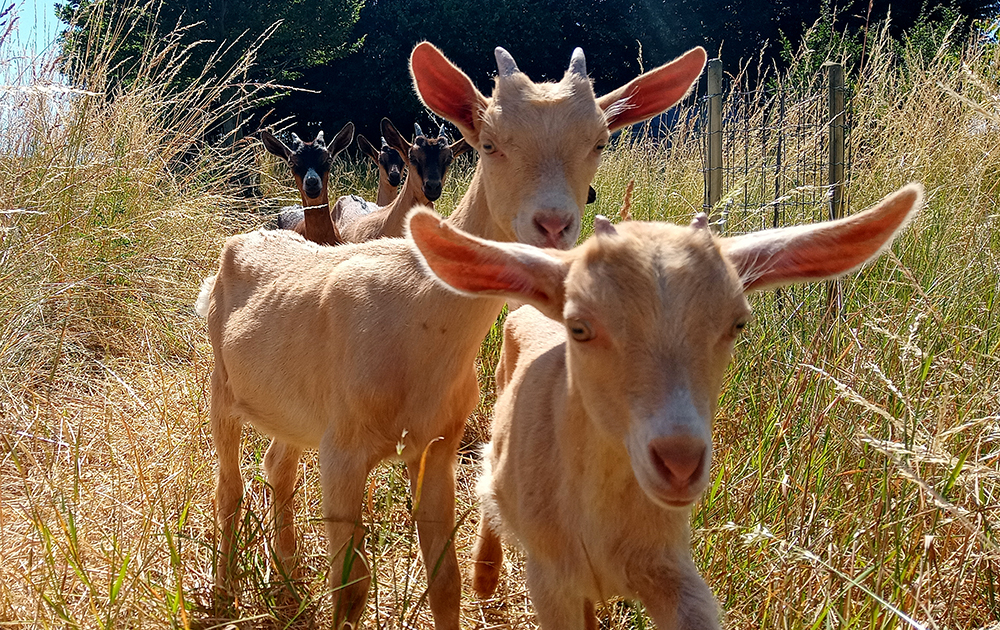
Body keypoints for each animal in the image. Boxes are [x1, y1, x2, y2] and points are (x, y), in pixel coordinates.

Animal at [404, 183, 920, 630]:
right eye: (579, 327)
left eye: (737, 324)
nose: (680, 462)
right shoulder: (550, 579)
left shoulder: (669, 569)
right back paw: (484, 574)